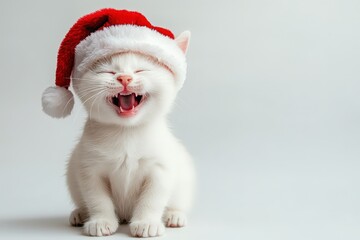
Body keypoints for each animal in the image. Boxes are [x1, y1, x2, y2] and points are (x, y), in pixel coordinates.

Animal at [68, 51, 197, 237]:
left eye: (140, 70)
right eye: (108, 72)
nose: (124, 78)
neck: (126, 132)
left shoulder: (160, 167)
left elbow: (152, 198)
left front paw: (146, 223)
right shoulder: (89, 168)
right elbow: (97, 198)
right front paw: (101, 221)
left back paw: (174, 215)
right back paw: (79, 213)